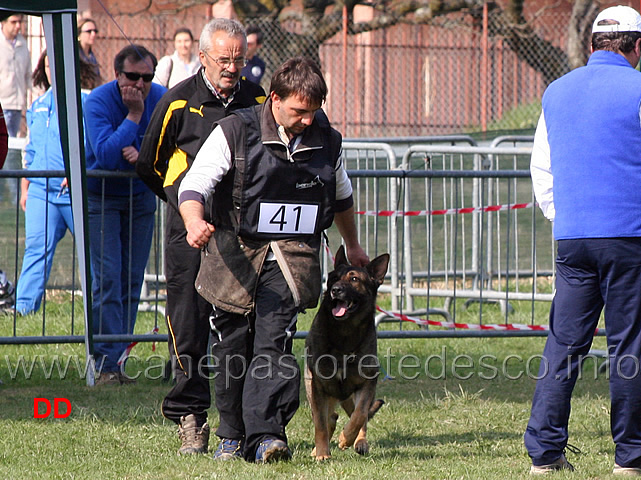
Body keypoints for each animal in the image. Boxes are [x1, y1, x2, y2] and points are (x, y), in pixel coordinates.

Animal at [304, 246, 390, 460]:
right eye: (334, 278)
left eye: (354, 279)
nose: (335, 290)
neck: (345, 332)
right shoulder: (317, 385)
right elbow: (320, 424)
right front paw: (322, 453)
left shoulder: (367, 382)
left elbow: (360, 416)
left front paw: (346, 438)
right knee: (328, 417)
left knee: (358, 417)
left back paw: (360, 442)